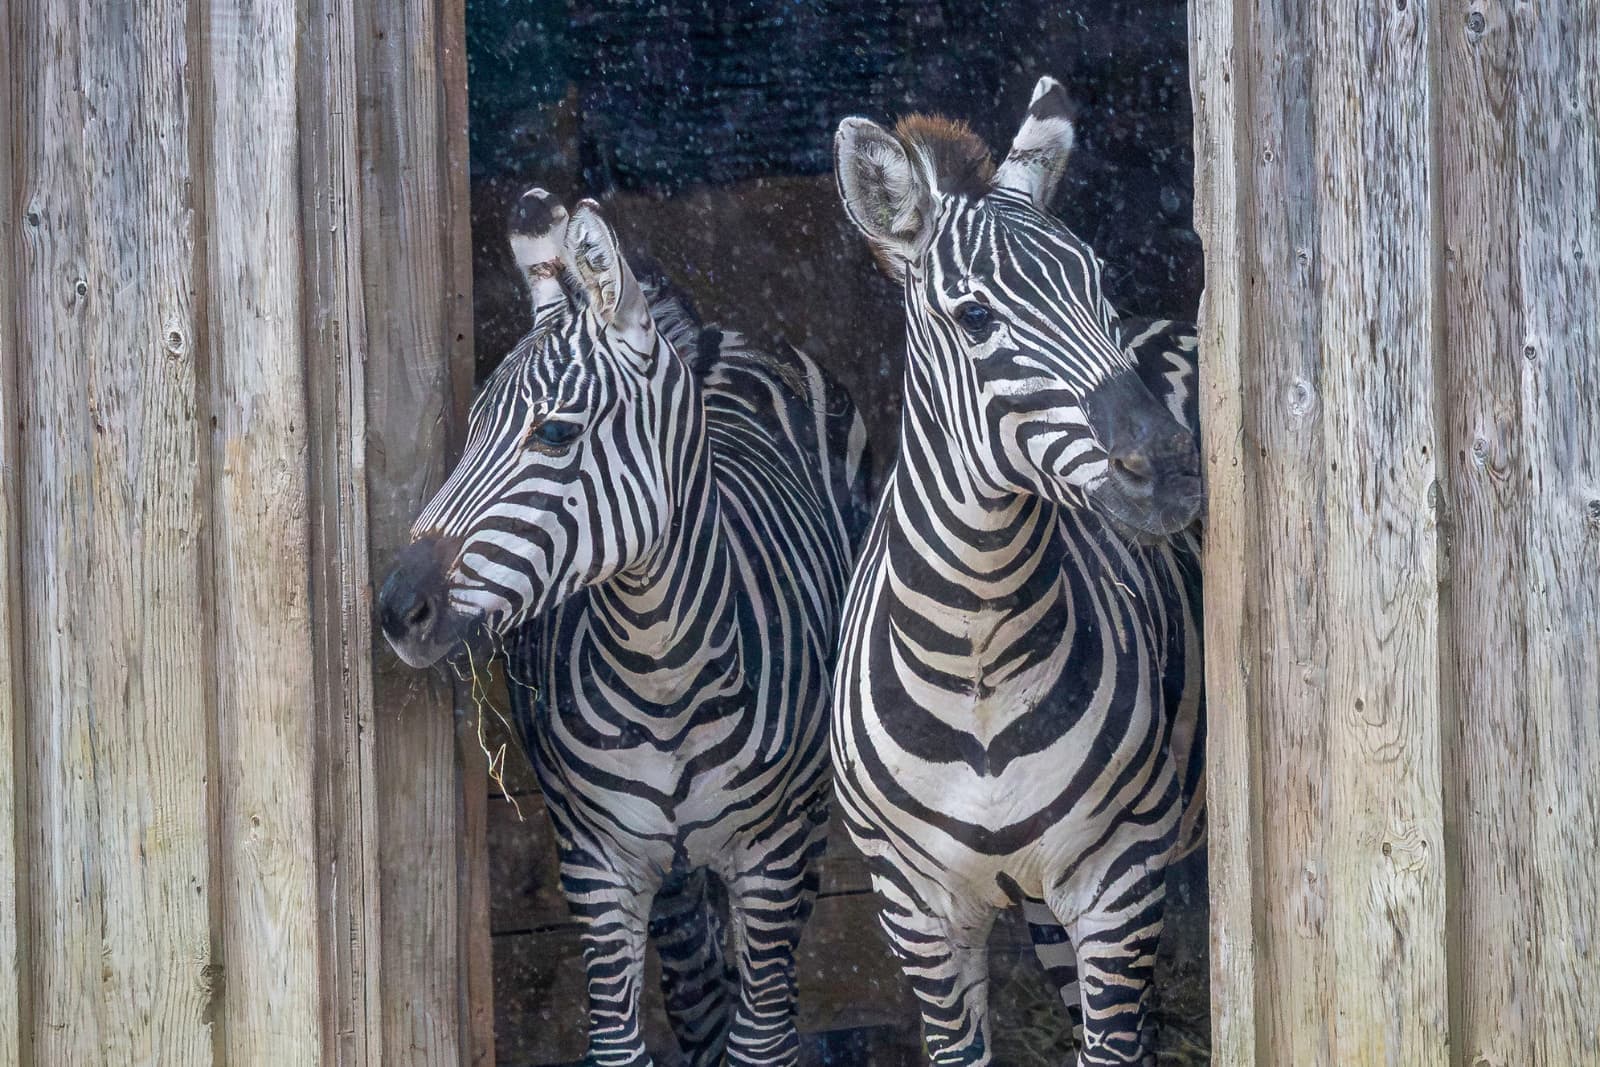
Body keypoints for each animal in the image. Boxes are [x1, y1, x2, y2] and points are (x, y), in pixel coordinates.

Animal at [376, 189, 870, 1066]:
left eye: (554, 432)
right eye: (469, 433)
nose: (398, 610)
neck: (660, 670)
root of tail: (706, 332)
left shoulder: (770, 856)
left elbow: (761, 1038)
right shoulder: (596, 862)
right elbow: (625, 1040)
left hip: (804, 826)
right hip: (671, 875)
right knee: (698, 990)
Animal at [828, 77, 1205, 1066]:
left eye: (1099, 286)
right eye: (975, 318)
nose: (1171, 469)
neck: (979, 647)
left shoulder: (1120, 882)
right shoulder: (917, 912)